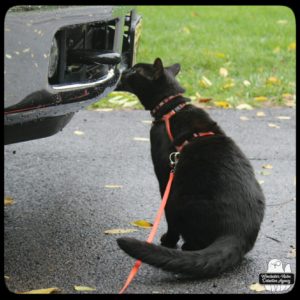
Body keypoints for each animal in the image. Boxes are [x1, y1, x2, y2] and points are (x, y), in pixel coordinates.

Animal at [116, 57, 264, 278]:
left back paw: (185, 246)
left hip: (181, 196)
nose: (125, 70)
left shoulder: (165, 178)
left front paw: (168, 240)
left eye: (135, 70)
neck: (171, 108)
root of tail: (237, 231)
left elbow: (168, 216)